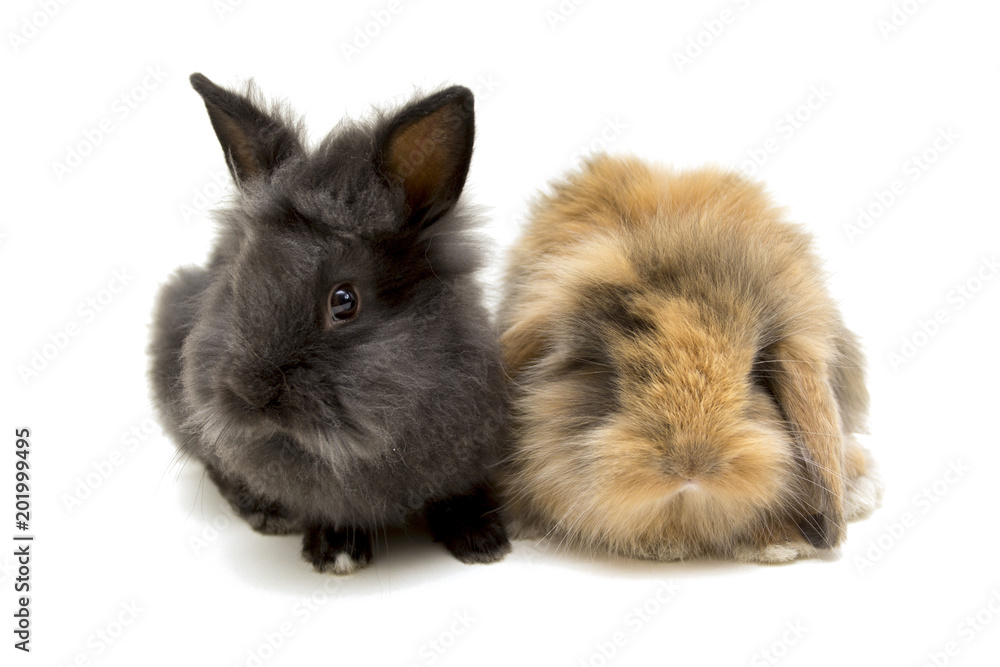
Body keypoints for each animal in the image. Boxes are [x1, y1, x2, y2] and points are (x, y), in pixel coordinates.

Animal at [148, 73, 511, 574]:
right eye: (237, 279)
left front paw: (484, 543)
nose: (252, 392)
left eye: (344, 301)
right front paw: (335, 552)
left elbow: (462, 494)